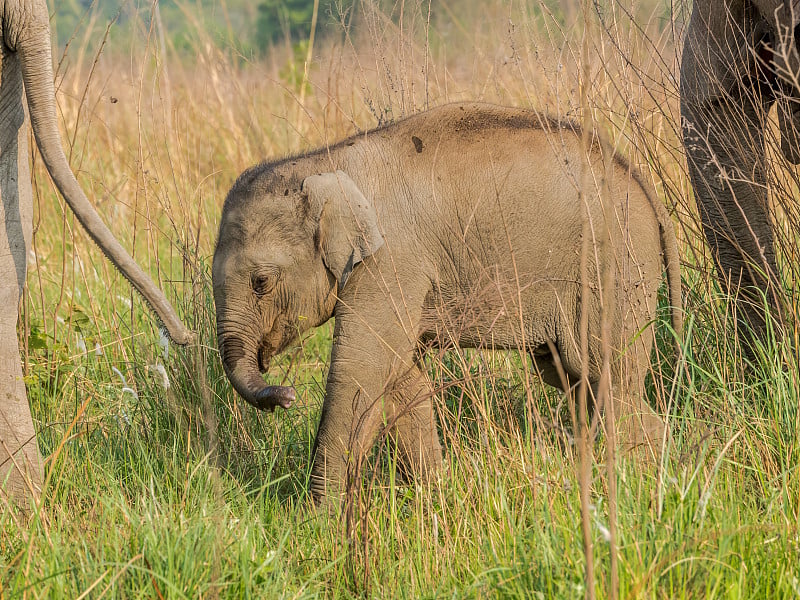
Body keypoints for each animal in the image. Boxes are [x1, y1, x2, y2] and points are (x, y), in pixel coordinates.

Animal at [212, 102, 680, 502]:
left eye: (260, 282)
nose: (287, 396)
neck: (321, 162)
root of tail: (644, 185)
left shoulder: (391, 261)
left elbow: (361, 370)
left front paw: (319, 522)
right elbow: (401, 378)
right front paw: (431, 495)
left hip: (614, 270)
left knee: (609, 378)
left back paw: (637, 481)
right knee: (575, 378)